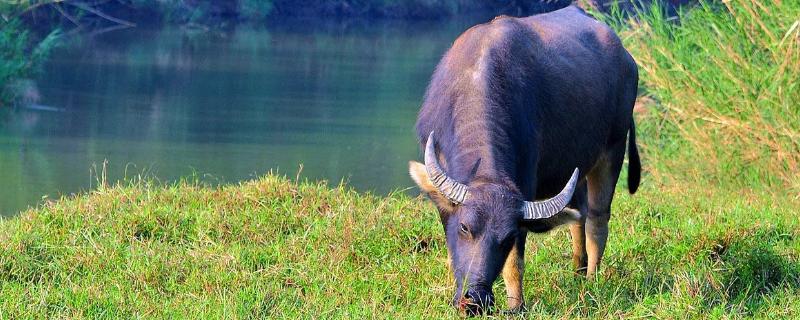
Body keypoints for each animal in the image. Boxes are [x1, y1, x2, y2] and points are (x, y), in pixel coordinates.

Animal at [410, 5, 640, 316]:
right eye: (465, 227)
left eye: (507, 238)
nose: (475, 300)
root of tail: (626, 58)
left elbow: (515, 263)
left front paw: (516, 304)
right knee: (578, 213)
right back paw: (577, 271)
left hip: (613, 149)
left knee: (597, 218)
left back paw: (592, 280)